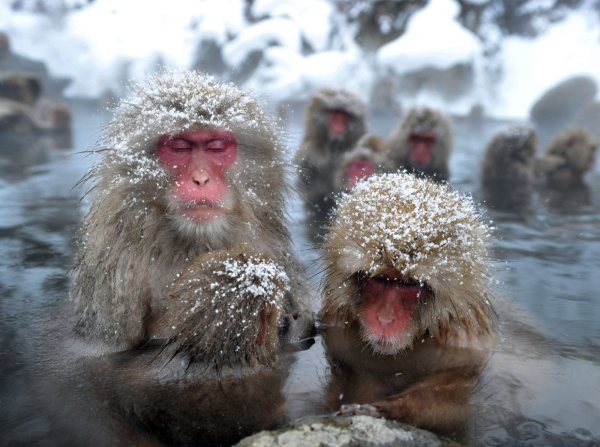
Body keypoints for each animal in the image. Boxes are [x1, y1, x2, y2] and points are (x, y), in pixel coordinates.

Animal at [318, 173, 496, 442]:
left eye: (408, 284)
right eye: (379, 279)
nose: (385, 319)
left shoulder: (466, 344)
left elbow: (459, 402)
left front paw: (393, 408)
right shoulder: (335, 322)